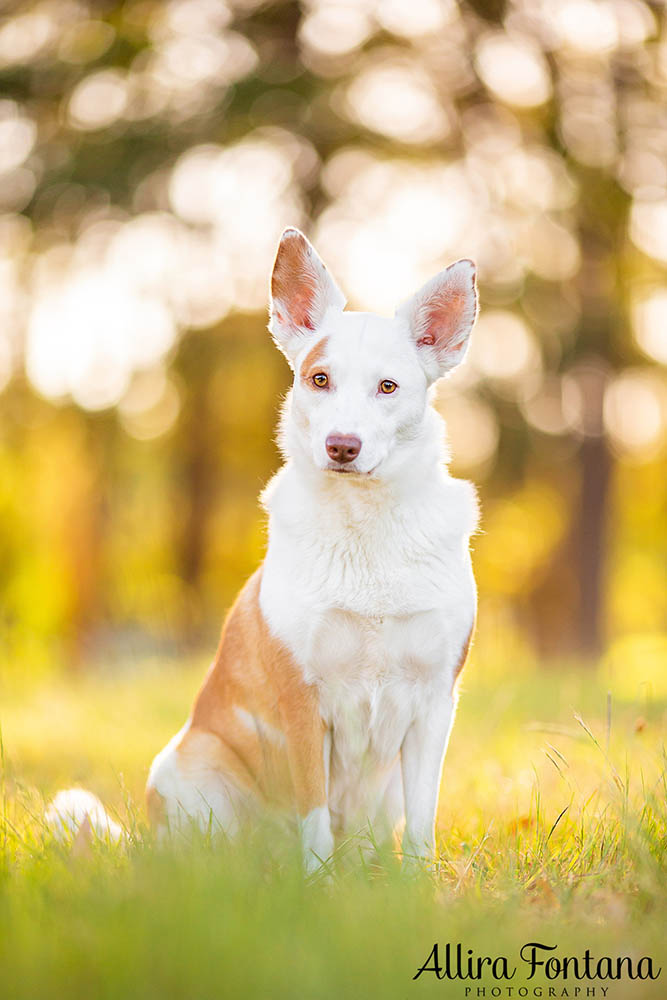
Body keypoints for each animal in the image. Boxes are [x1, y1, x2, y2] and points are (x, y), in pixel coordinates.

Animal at [146, 230, 480, 872]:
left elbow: (423, 823)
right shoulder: (303, 701)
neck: (365, 526)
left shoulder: (435, 704)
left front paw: (419, 887)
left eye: (387, 387)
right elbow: (315, 816)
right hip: (188, 769)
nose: (341, 446)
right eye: (319, 379)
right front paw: (318, 888)